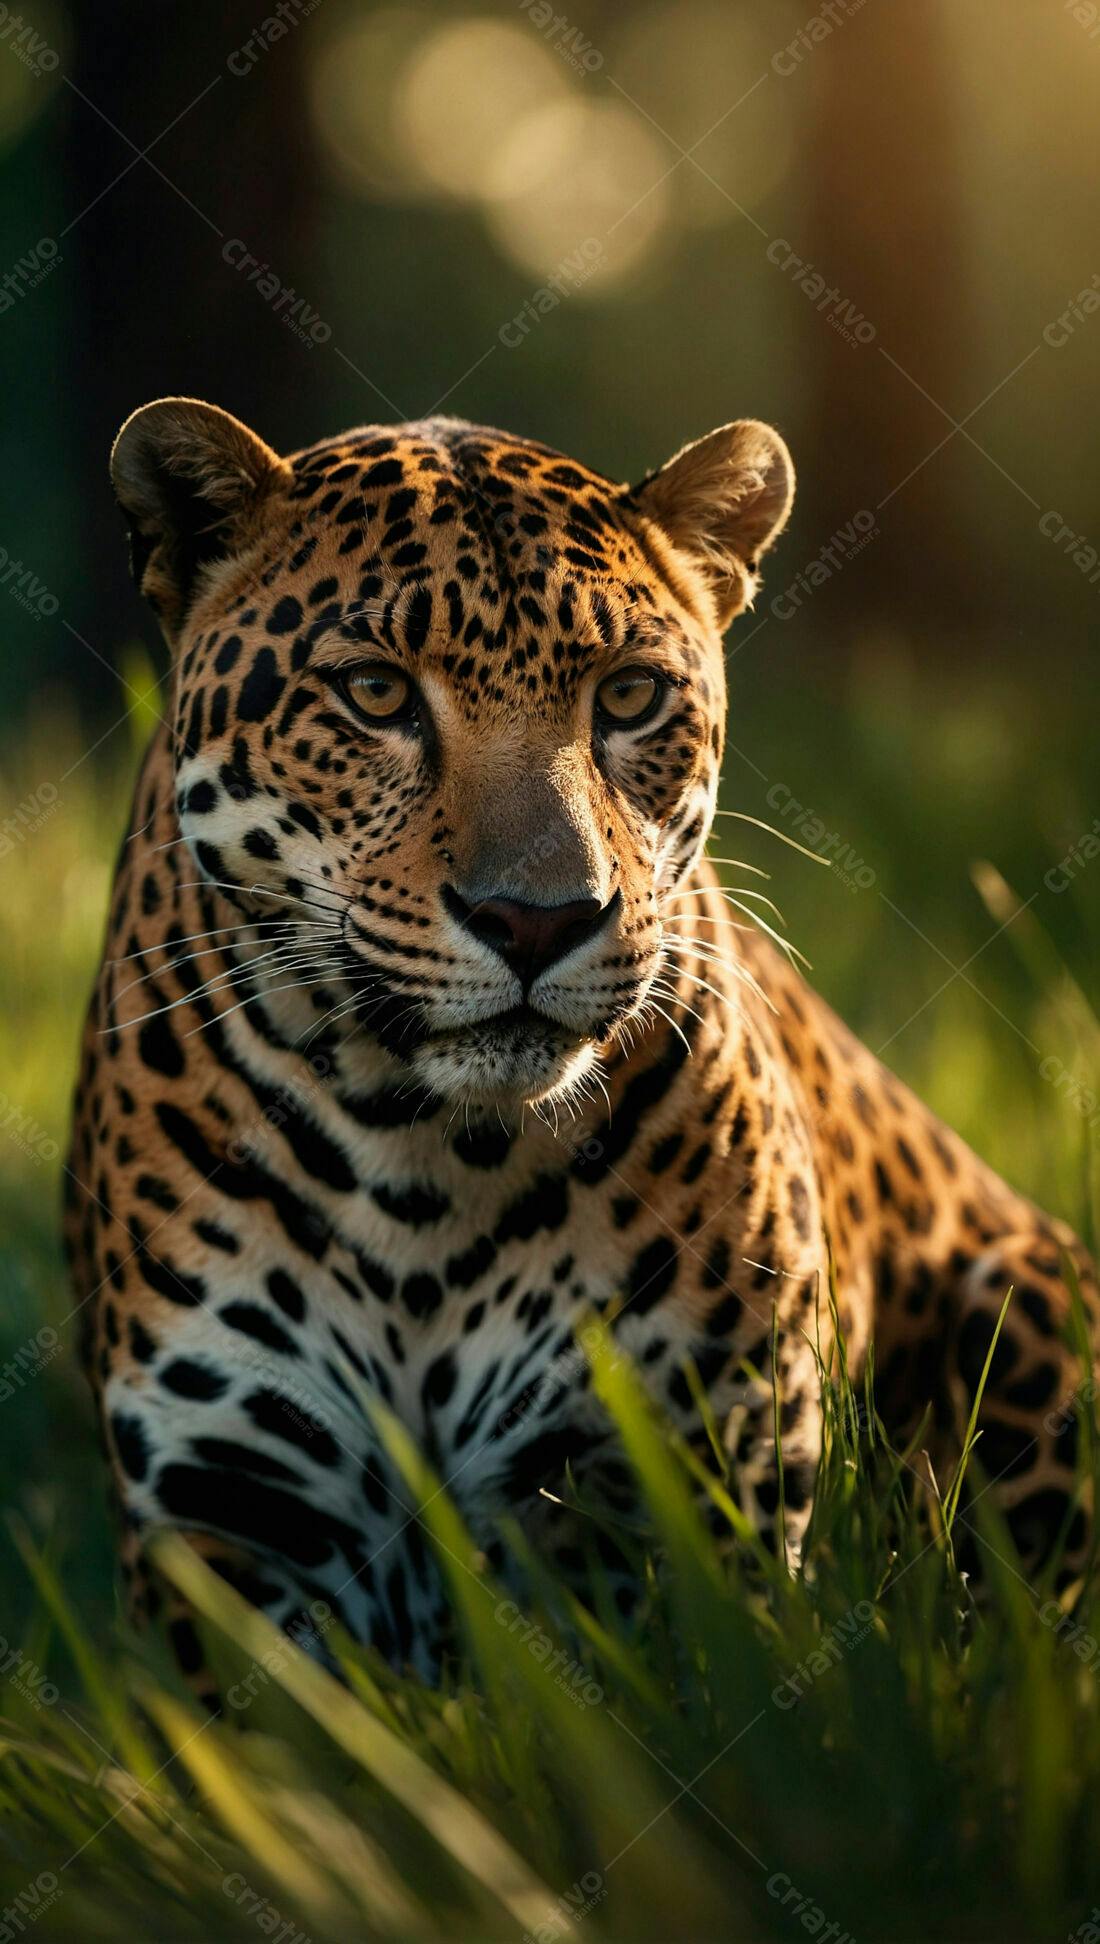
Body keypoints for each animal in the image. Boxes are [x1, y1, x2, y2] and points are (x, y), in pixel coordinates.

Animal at [65, 396, 1098, 1701]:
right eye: (374, 693)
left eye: (628, 698)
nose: (536, 918)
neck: (423, 1160)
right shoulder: (231, 1526)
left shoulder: (684, 1493)